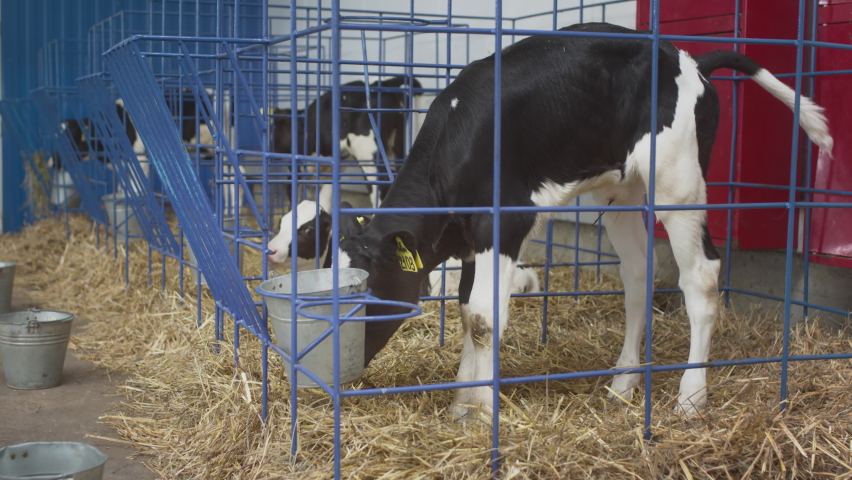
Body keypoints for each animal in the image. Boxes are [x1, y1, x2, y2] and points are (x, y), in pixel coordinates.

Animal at [333, 23, 833, 421]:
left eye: (365, 295)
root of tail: (688, 59)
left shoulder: (505, 222)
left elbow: (483, 318)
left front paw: (479, 409)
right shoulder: (473, 236)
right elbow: (466, 311)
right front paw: (463, 400)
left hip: (678, 184)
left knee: (701, 278)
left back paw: (691, 397)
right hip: (624, 194)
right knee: (638, 274)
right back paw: (624, 382)